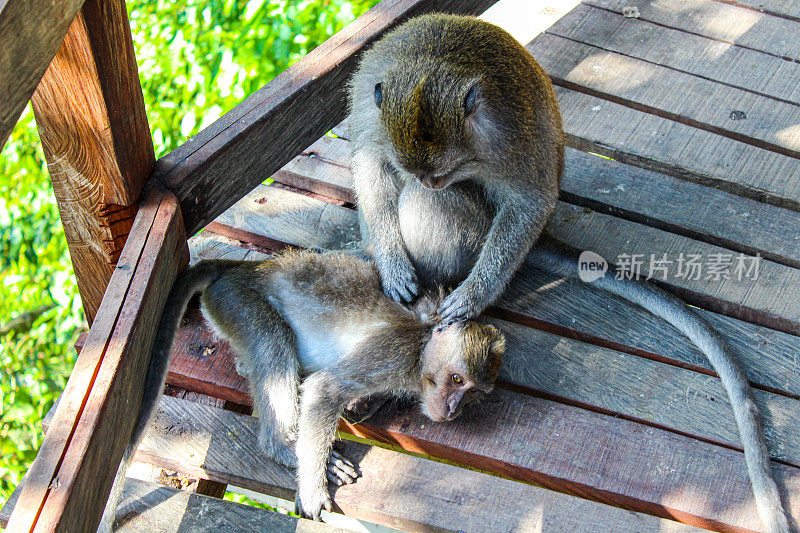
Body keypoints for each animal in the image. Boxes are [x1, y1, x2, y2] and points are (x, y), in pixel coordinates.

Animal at [97, 250, 504, 528]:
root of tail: (241, 266)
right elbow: (326, 388)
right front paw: (312, 489)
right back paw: (283, 446)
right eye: (458, 380)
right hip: (238, 299)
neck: (423, 343)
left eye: (474, 392)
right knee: (272, 341)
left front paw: (365, 405)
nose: (452, 409)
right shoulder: (394, 352)